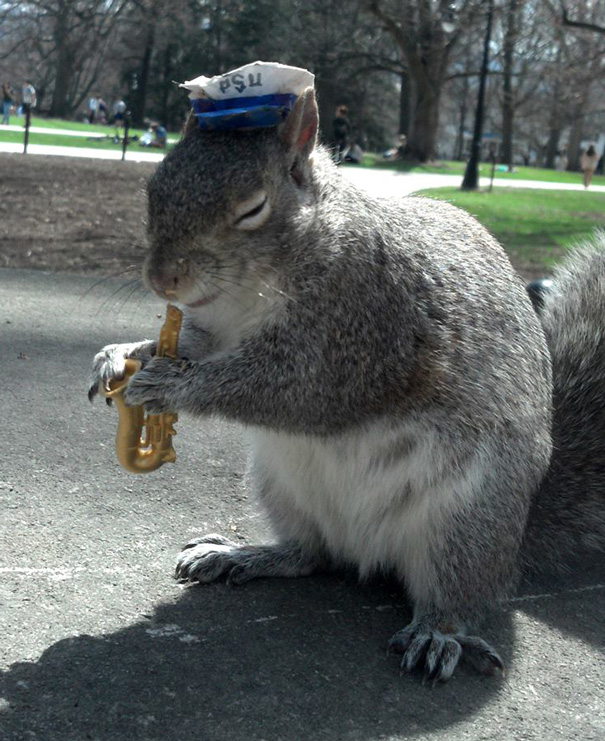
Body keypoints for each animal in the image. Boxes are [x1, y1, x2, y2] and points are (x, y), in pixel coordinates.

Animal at [89, 87, 605, 682]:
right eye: (153, 187)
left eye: (252, 208)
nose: (161, 280)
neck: (248, 293)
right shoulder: (209, 328)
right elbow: (188, 344)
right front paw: (120, 357)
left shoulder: (365, 326)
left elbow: (295, 390)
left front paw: (171, 386)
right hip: (282, 486)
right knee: (315, 554)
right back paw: (244, 554)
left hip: (467, 517)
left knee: (459, 593)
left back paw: (438, 632)